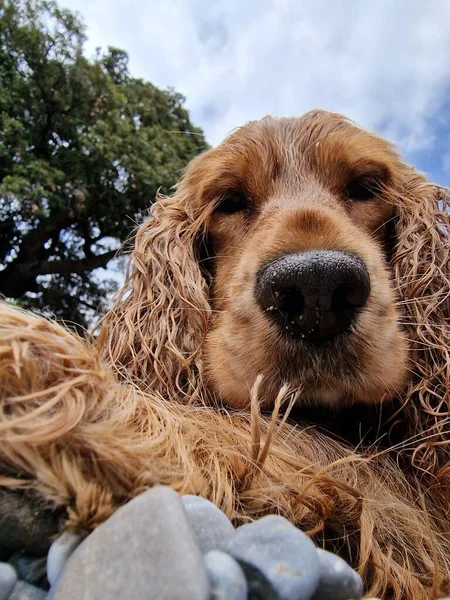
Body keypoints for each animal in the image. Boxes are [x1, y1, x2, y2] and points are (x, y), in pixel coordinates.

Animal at [0, 110, 450, 596]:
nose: (316, 289)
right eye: (229, 201)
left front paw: (49, 374)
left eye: (366, 187)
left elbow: (240, 436)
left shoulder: (412, 508)